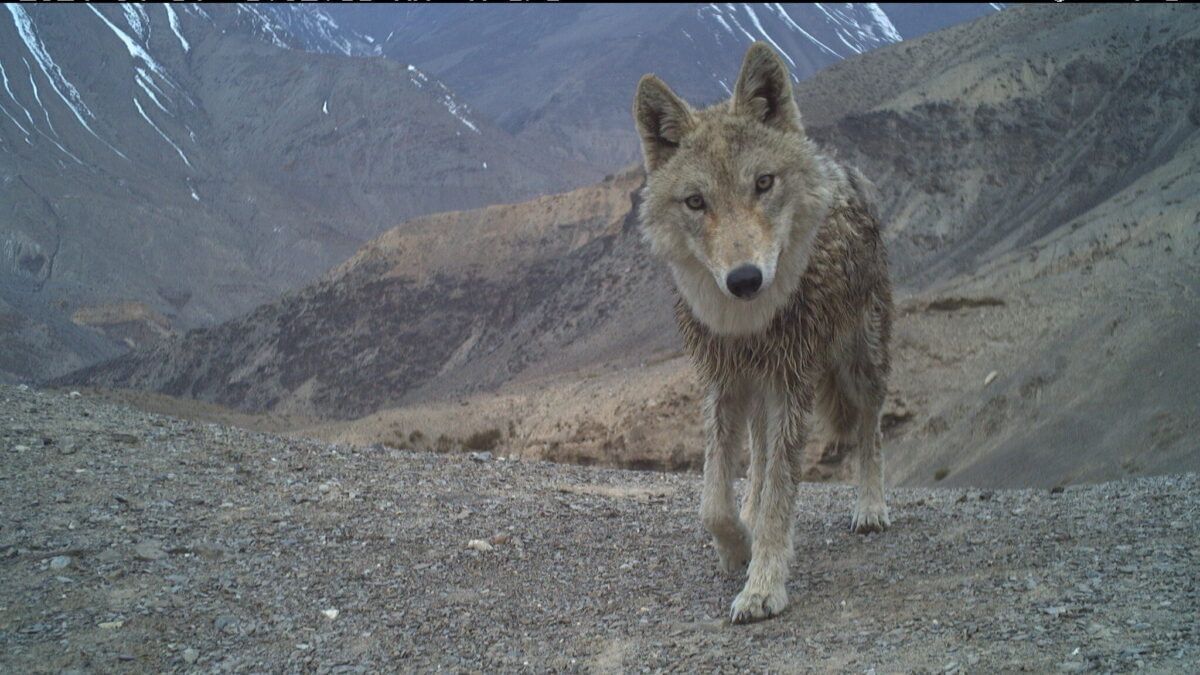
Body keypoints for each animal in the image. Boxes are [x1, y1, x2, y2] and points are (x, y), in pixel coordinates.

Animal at [632, 42, 894, 624]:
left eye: (763, 183)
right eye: (696, 202)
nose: (745, 279)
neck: (745, 324)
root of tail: (838, 163)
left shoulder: (792, 385)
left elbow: (780, 491)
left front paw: (763, 587)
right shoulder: (722, 383)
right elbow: (714, 500)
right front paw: (738, 546)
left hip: (859, 361)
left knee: (869, 427)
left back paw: (870, 507)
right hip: (758, 389)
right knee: (754, 453)